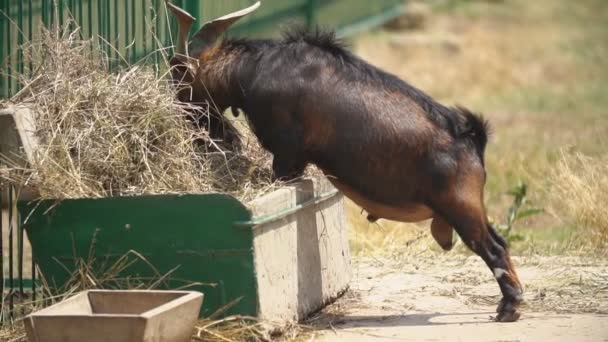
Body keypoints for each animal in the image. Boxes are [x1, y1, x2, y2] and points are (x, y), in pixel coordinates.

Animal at [165, 0, 524, 322]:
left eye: (181, 79)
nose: (196, 132)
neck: (258, 68)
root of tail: (473, 140)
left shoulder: (287, 156)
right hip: (468, 206)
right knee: (499, 241)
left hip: (460, 205)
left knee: (492, 248)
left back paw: (509, 308)